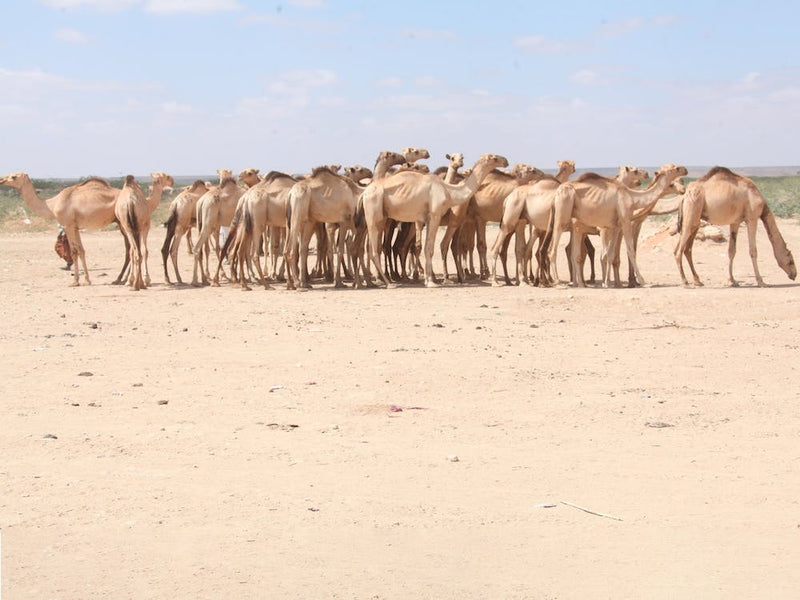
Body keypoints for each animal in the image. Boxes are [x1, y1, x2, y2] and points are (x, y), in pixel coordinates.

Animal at [359, 153, 510, 287]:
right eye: (494, 158)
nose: (506, 161)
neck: (449, 191)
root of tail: (364, 192)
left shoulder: (426, 219)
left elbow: (426, 247)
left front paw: (427, 280)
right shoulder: (434, 215)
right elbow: (429, 248)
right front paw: (431, 282)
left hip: (381, 218)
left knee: (375, 248)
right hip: (373, 213)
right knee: (374, 251)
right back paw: (388, 283)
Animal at [549, 163, 688, 287]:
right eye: (676, 168)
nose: (685, 170)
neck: (632, 198)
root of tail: (556, 193)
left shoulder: (615, 227)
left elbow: (610, 255)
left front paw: (608, 283)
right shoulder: (624, 222)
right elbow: (630, 251)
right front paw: (641, 281)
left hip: (575, 227)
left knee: (573, 253)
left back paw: (578, 283)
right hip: (563, 213)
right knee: (553, 250)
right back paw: (558, 282)